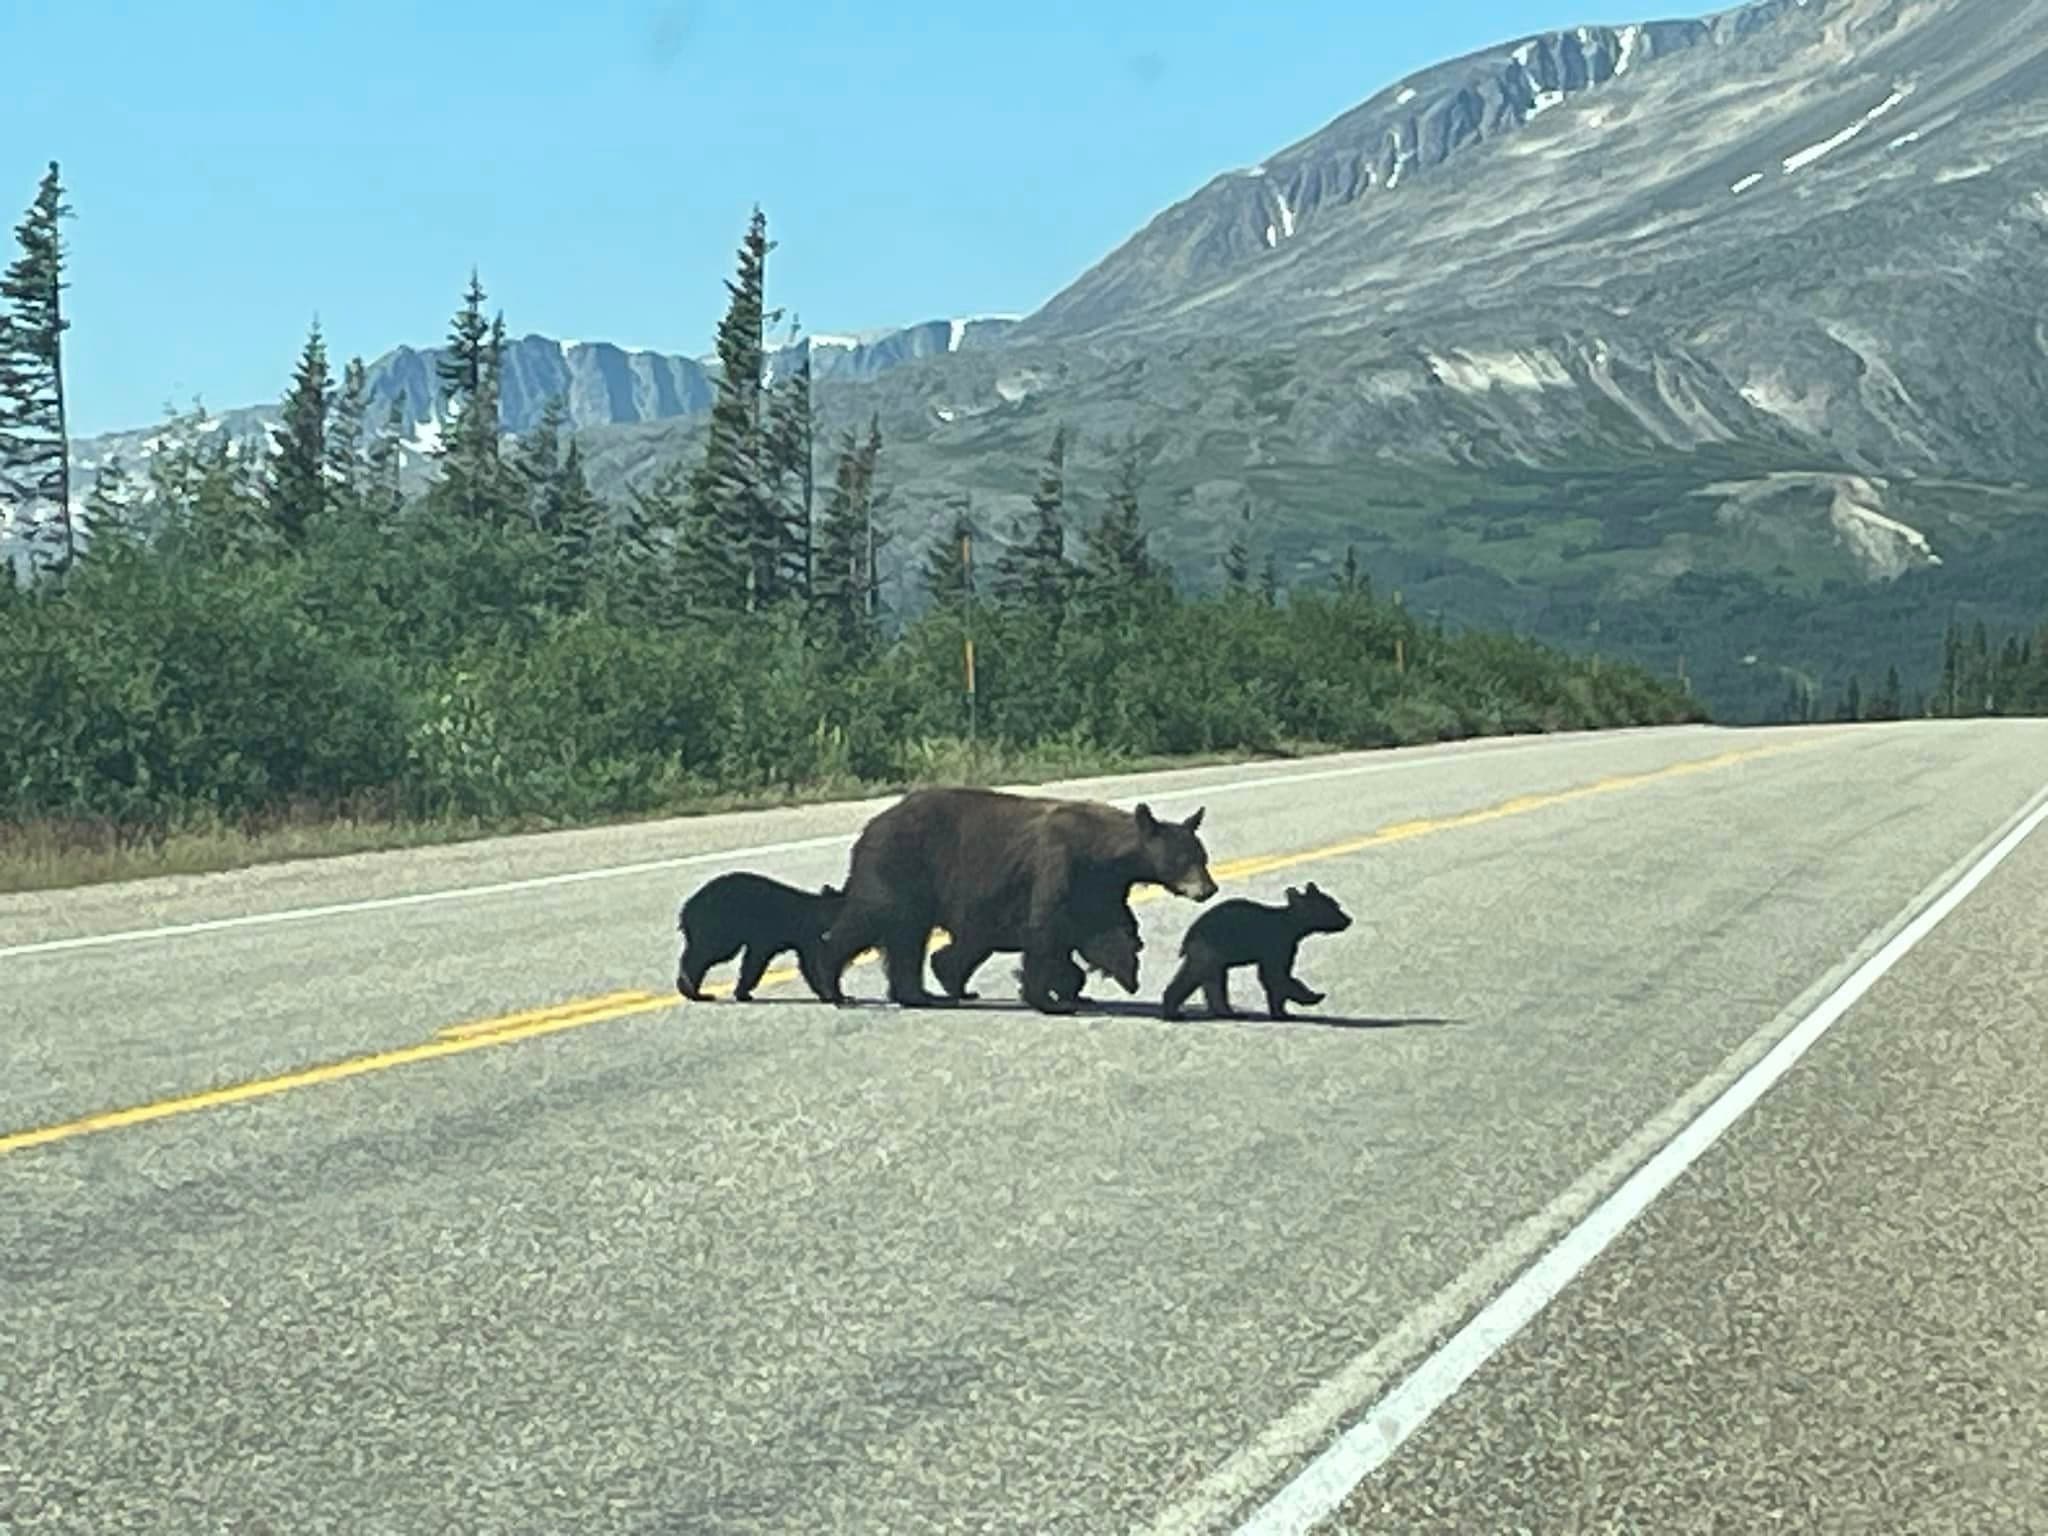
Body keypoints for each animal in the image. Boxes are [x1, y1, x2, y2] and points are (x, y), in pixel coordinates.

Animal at [674, 870, 845, 1003]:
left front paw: (742, 992)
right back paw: (694, 991)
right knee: (707, 952)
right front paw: (834, 995)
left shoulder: (804, 941)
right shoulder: (778, 935)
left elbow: (808, 964)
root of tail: (685, 910)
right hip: (717, 925)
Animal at [1159, 881, 1353, 1022]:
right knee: (1196, 975)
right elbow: (1275, 975)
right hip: (1210, 949)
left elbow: (1274, 977)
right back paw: (1173, 1012)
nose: (1348, 919)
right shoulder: (1277, 945)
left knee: (1212, 981)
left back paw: (1227, 1012)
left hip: (1212, 955)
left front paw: (1282, 1012)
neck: (1292, 926)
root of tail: (1189, 934)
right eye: (1334, 907)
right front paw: (1313, 996)